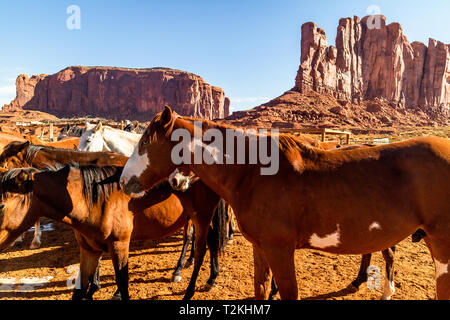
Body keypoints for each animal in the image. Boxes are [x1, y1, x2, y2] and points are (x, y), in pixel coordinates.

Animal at [118, 107, 450, 300]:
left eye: (144, 142)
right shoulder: (261, 248)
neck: (252, 172)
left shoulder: (280, 250)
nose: (123, 181)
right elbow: (262, 289)